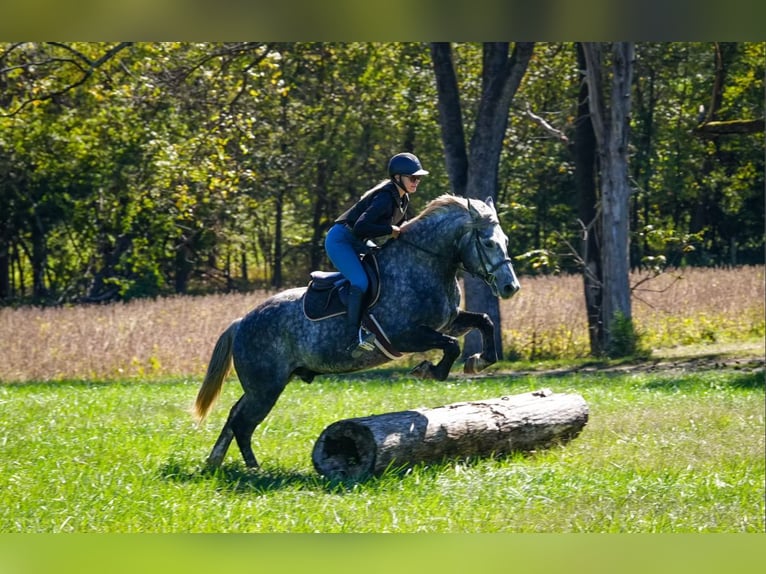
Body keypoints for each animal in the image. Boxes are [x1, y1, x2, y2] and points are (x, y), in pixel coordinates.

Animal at [193, 194, 520, 468]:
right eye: (488, 244)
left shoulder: (447, 322)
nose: (510, 288)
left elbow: (484, 322)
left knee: (235, 414)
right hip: (266, 387)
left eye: (505, 240)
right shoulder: (405, 335)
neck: (425, 263)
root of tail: (241, 322)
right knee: (243, 423)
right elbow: (451, 345)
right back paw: (253, 468)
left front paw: (478, 361)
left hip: (264, 385)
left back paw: (215, 462)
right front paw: (428, 370)